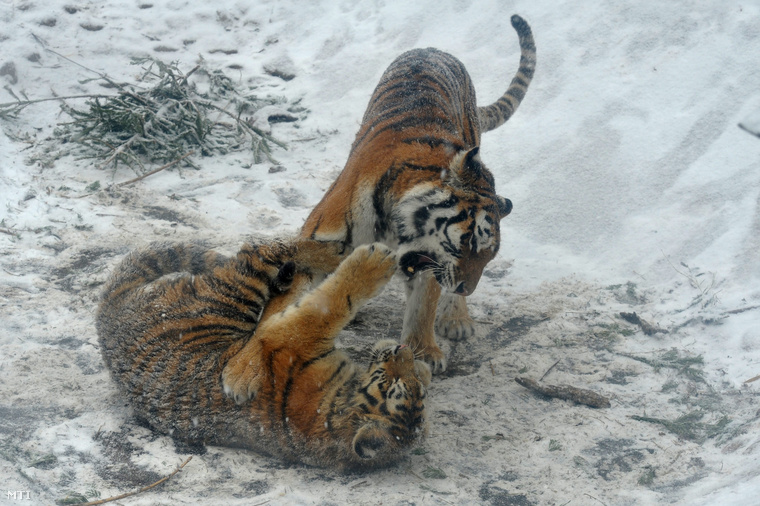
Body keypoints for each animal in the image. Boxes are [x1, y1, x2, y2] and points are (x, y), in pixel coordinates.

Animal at [99, 241, 434, 470]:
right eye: (392, 387)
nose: (403, 350)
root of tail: (110, 308)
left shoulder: (287, 336)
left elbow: (326, 305)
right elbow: (330, 305)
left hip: (229, 294)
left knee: (257, 253)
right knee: (269, 252)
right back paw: (330, 256)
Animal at [284, 14, 536, 376]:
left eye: (489, 256)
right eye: (469, 242)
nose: (466, 287)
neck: (396, 227)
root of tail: (434, 48)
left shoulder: (431, 261)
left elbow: (422, 306)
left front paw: (424, 352)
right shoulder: (318, 242)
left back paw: (457, 319)